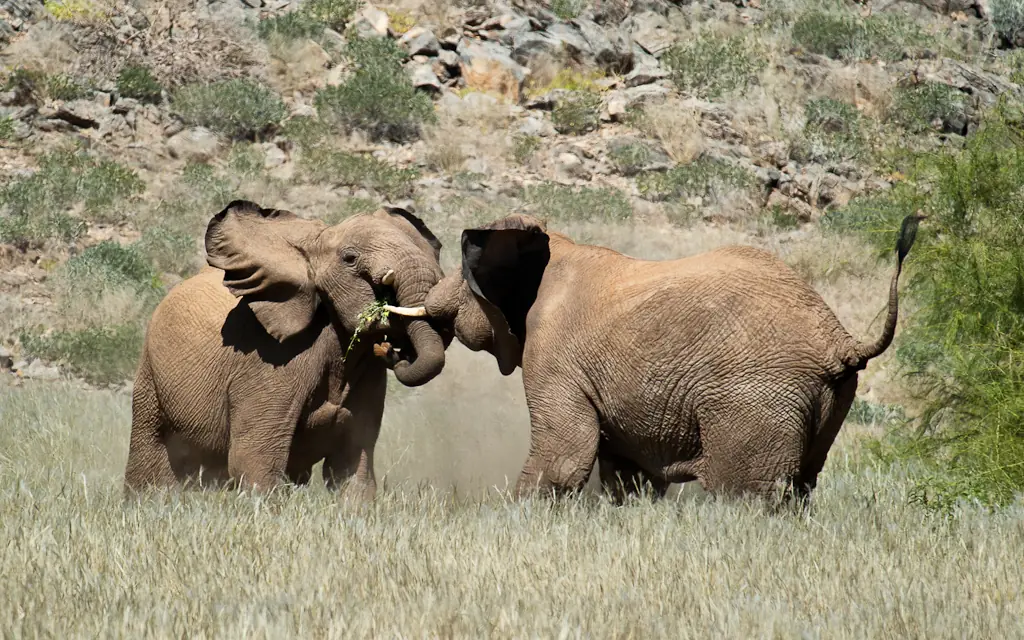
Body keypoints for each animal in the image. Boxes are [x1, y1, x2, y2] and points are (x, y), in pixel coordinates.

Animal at [123, 199, 448, 498]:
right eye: (350, 258)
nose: (392, 351)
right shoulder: (269, 361)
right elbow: (254, 460)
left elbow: (353, 466)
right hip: (150, 373)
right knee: (149, 449)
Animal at [424, 213, 924, 503]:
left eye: (463, 276)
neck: (554, 245)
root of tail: (839, 340)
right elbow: (627, 476)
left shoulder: (554, 353)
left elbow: (563, 457)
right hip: (828, 401)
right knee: (801, 485)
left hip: (755, 399)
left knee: (744, 493)